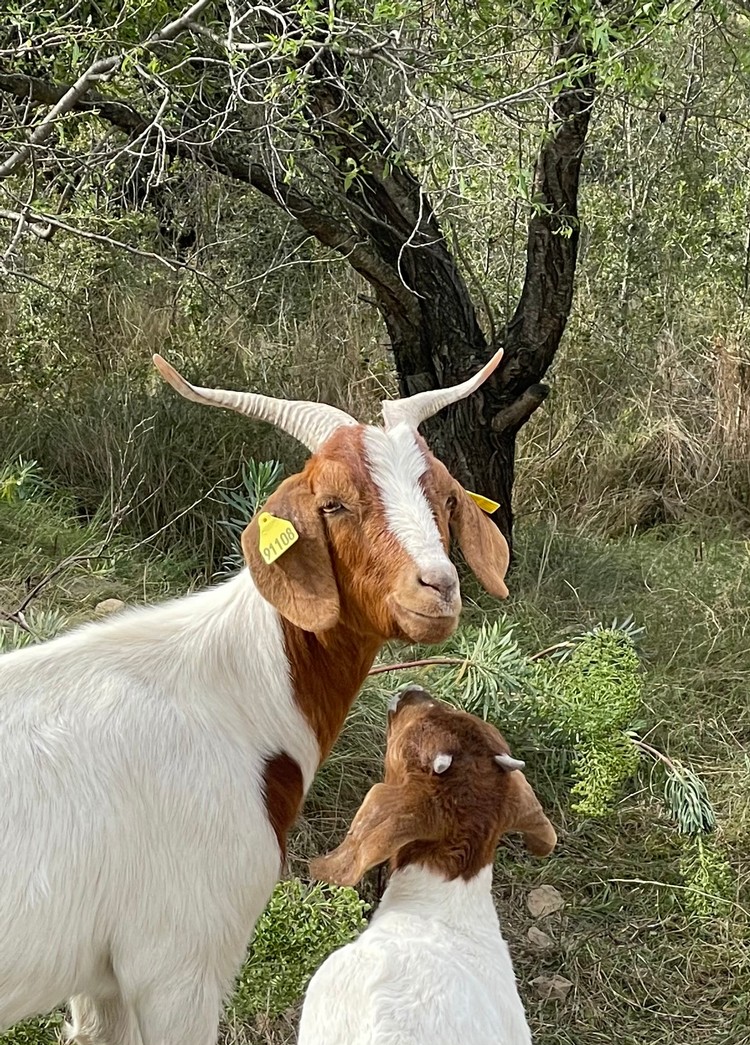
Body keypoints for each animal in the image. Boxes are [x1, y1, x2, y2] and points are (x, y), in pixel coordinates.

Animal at [0, 351, 511, 1045]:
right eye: (333, 503)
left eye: (446, 496)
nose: (436, 588)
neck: (230, 695)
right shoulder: (179, 959)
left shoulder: (97, 978)